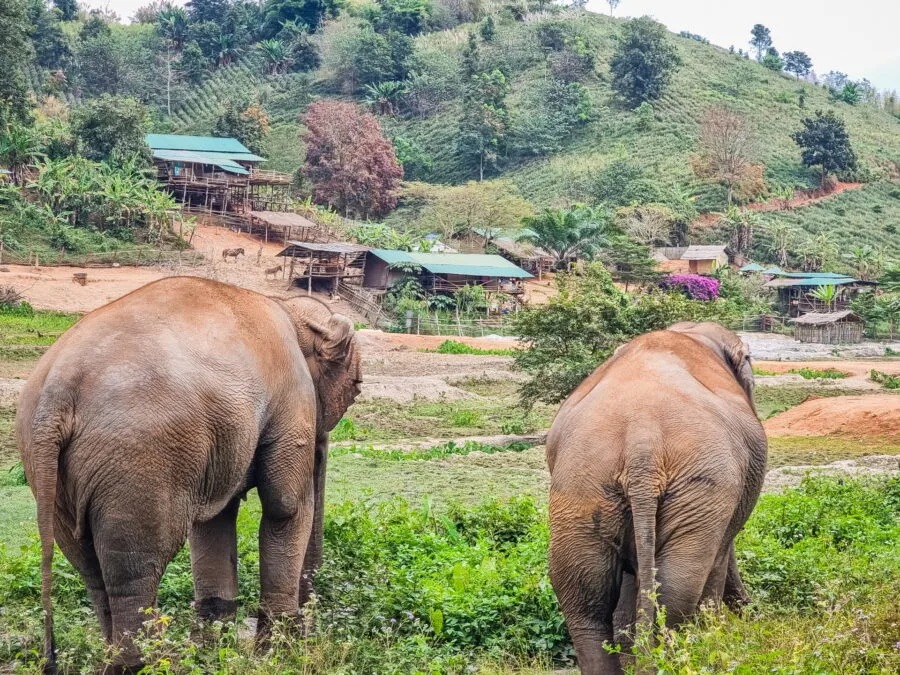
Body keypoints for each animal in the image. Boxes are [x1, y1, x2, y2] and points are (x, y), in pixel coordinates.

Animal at [16, 277, 362, 673]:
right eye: (355, 388)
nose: (312, 632)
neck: (289, 309)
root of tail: (54, 397)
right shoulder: (292, 397)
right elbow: (285, 506)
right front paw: (277, 657)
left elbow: (215, 520)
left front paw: (215, 652)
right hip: (140, 459)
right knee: (134, 569)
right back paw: (146, 663)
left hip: (53, 472)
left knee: (90, 567)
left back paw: (117, 660)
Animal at [545, 322, 767, 675]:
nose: (754, 617)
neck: (690, 331)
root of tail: (642, 442)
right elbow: (721, 556)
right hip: (702, 492)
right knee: (677, 590)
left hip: (582, 489)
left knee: (585, 598)